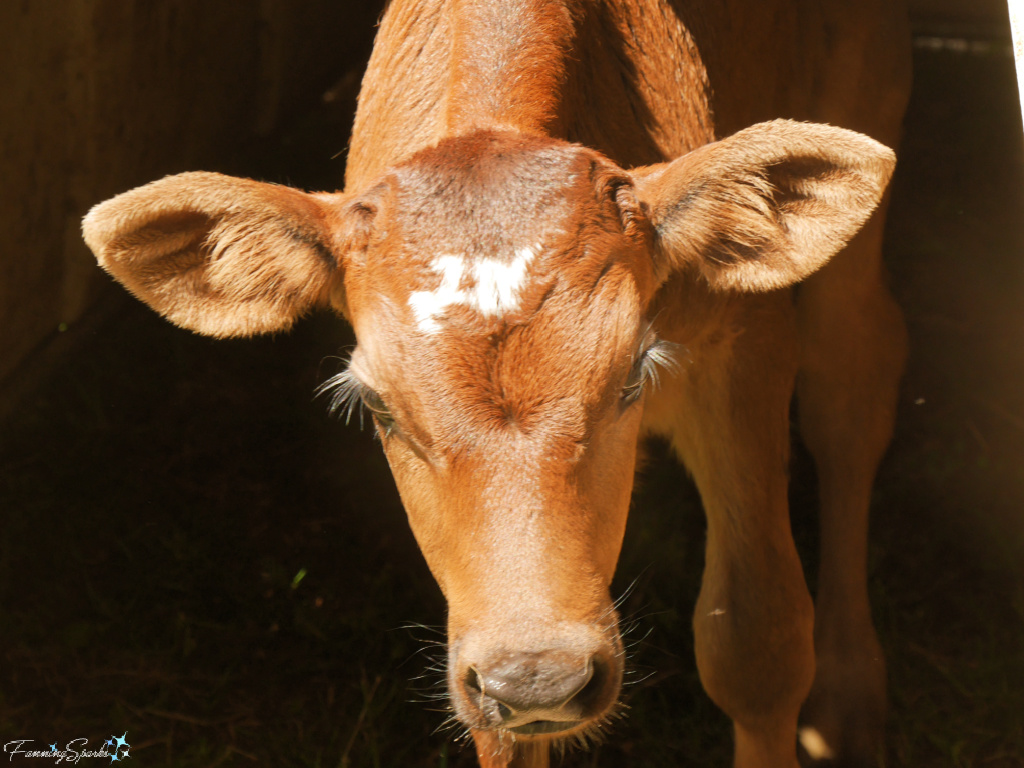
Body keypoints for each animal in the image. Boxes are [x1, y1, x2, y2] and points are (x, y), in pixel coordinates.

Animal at [83, 1, 909, 768]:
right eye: (377, 404)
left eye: (634, 374)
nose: (541, 679)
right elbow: (503, 736)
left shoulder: (743, 342)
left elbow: (757, 642)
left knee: (852, 382)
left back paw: (846, 707)